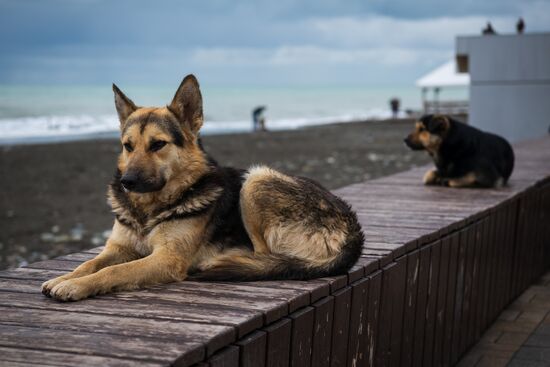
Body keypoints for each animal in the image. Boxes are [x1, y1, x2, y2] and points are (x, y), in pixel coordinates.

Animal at [41, 74, 364, 302]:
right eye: (128, 146)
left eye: (158, 144)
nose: (127, 182)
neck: (149, 209)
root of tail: (353, 228)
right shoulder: (118, 248)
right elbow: (90, 263)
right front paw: (65, 278)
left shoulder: (166, 259)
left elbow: (114, 270)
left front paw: (76, 286)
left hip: (256, 180)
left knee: (263, 255)